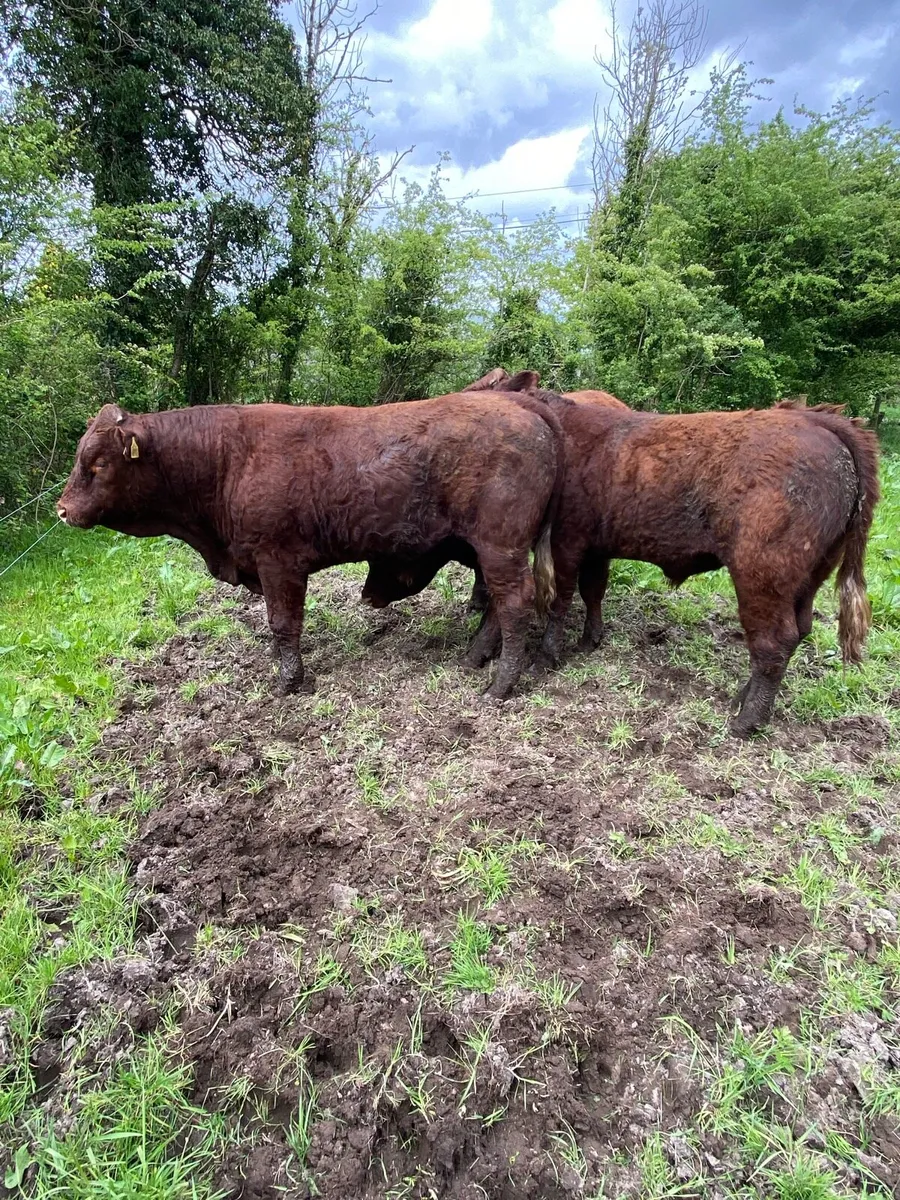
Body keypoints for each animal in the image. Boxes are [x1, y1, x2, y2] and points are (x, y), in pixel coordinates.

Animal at [57, 395, 564, 698]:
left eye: (98, 464)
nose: (62, 510)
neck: (227, 459)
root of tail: (522, 406)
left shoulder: (278, 562)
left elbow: (283, 624)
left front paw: (289, 681)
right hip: (490, 550)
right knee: (497, 604)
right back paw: (475, 656)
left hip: (501, 546)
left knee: (514, 604)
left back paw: (500, 684)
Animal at [528, 393, 880, 735]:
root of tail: (814, 418)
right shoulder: (595, 548)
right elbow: (593, 592)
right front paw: (588, 642)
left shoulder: (565, 542)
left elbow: (559, 599)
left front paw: (546, 657)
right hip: (811, 576)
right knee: (800, 629)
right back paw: (742, 699)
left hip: (761, 575)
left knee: (775, 641)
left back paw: (746, 721)